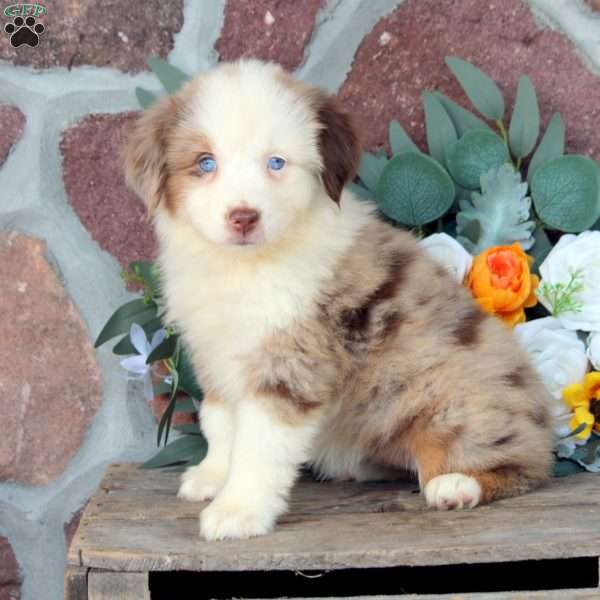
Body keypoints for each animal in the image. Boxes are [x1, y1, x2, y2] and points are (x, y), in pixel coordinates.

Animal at [123, 59, 552, 540]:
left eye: (276, 163)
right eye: (205, 163)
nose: (243, 217)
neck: (244, 266)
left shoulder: (293, 362)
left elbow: (258, 444)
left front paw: (239, 510)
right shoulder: (214, 352)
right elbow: (219, 422)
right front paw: (212, 477)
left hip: (454, 404)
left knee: (526, 464)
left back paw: (457, 485)